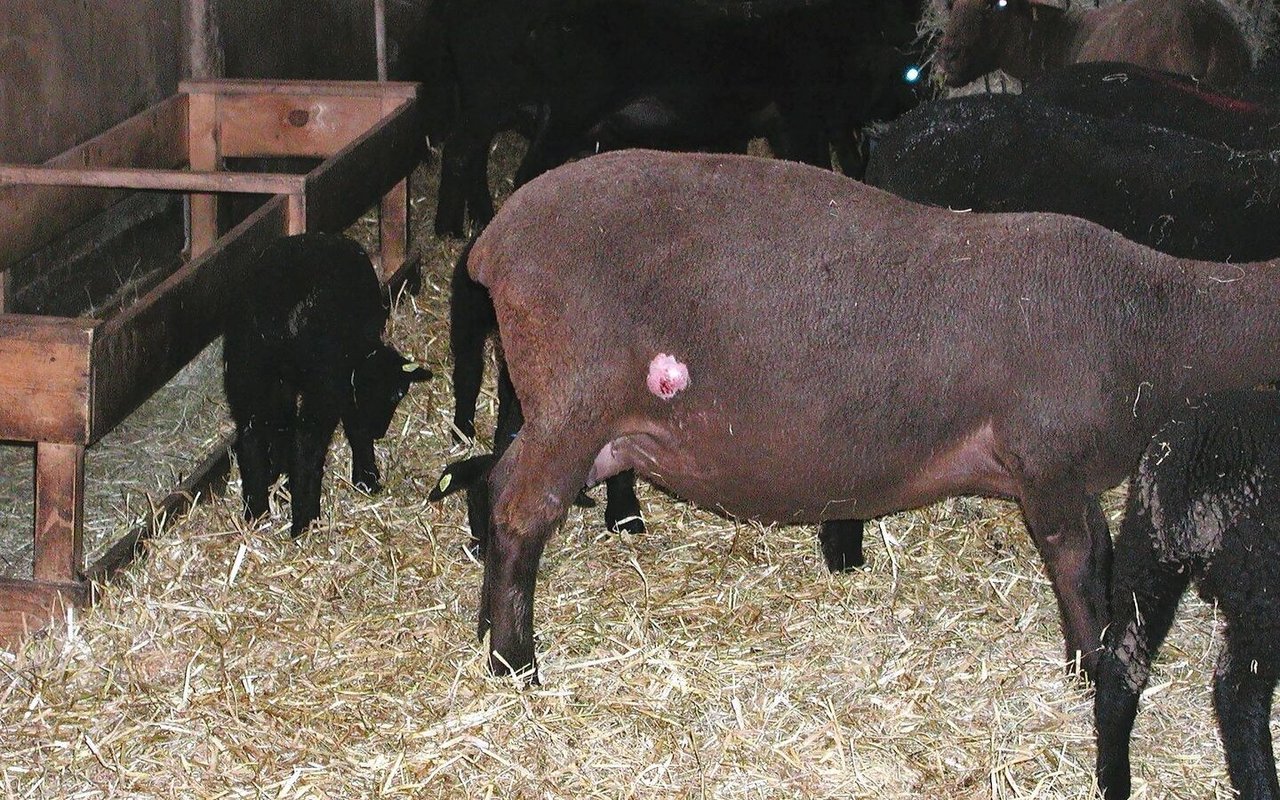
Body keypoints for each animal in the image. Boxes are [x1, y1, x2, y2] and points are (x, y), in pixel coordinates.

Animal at [222, 233, 431, 537]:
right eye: (397, 393)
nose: (380, 432)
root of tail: (277, 306)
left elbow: (281, 426)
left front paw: (281, 479)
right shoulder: (342, 378)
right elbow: (355, 425)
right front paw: (367, 478)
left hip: (247, 367)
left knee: (252, 434)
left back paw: (256, 513)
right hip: (320, 378)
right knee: (306, 442)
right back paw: (305, 521)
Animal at [463, 148, 1280, 680]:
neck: (1160, 324)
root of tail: (493, 242)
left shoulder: (1067, 472)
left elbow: (1100, 553)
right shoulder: (1045, 460)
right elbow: (1075, 560)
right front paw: (1090, 666)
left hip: (571, 418)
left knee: (495, 484)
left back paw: (484, 633)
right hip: (576, 400)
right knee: (519, 512)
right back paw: (514, 662)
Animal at [1094, 390, 1280, 800]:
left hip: (1146, 549)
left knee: (1122, 666)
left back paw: (1112, 781)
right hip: (1263, 591)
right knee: (1237, 693)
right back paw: (1261, 784)